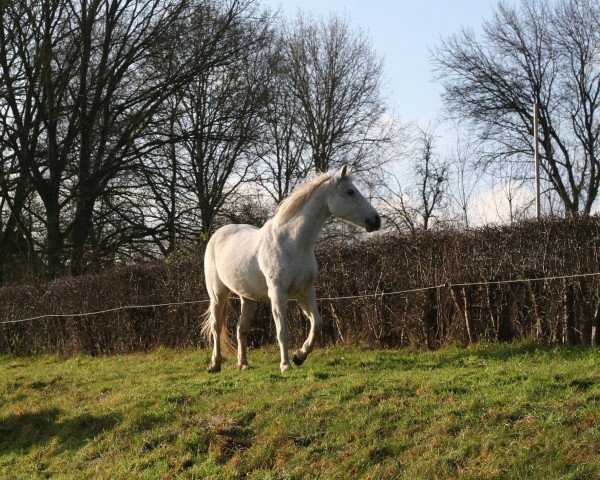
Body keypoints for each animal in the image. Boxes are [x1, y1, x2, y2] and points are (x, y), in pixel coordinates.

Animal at [200, 167, 380, 374]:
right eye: (350, 191)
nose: (376, 220)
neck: (293, 242)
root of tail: (217, 235)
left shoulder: (306, 291)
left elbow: (317, 324)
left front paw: (299, 356)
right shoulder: (278, 294)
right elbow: (282, 331)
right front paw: (286, 364)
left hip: (248, 298)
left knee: (241, 329)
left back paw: (243, 364)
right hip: (218, 294)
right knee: (216, 327)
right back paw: (215, 364)